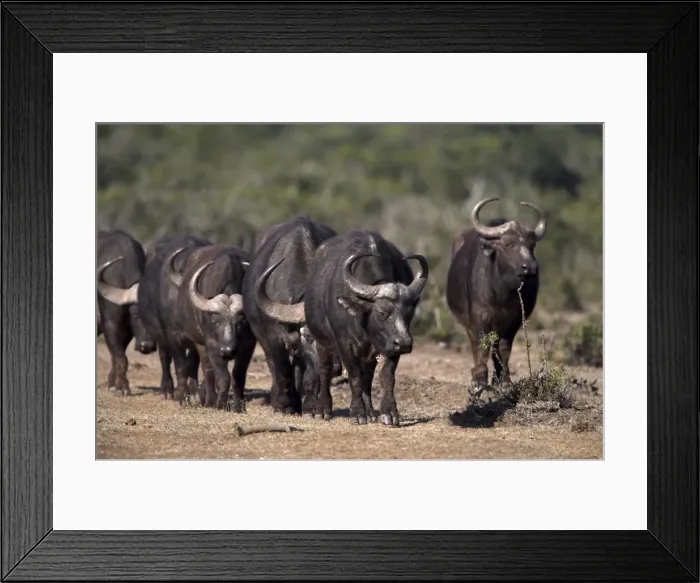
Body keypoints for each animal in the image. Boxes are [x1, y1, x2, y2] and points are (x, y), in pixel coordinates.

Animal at [97, 229, 156, 395]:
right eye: (136, 315)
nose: (147, 345)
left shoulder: (128, 331)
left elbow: (117, 356)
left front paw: (113, 384)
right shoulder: (109, 323)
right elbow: (121, 358)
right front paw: (122, 388)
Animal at [166, 244, 255, 411]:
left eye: (241, 322)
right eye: (216, 321)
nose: (227, 350)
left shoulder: (248, 346)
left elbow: (238, 376)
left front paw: (239, 407)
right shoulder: (212, 345)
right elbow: (222, 376)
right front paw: (220, 404)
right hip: (199, 343)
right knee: (207, 370)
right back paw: (208, 400)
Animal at [242, 215, 338, 415]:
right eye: (309, 335)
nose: (337, 367)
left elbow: (312, 377)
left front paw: (312, 406)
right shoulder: (274, 339)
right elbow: (283, 371)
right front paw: (284, 405)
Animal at [256, 230, 429, 426]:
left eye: (410, 311)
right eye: (382, 311)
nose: (405, 343)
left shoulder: (389, 346)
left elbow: (386, 377)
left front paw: (389, 413)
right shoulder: (344, 344)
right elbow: (354, 377)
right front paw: (357, 414)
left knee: (367, 376)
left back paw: (371, 411)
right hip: (324, 342)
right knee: (325, 371)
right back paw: (323, 410)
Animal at [446, 197, 547, 392]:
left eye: (532, 245)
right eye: (508, 243)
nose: (530, 267)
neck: (501, 293)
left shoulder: (513, 321)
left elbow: (504, 349)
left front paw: (504, 381)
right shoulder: (480, 317)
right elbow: (482, 346)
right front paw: (478, 381)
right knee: (475, 344)